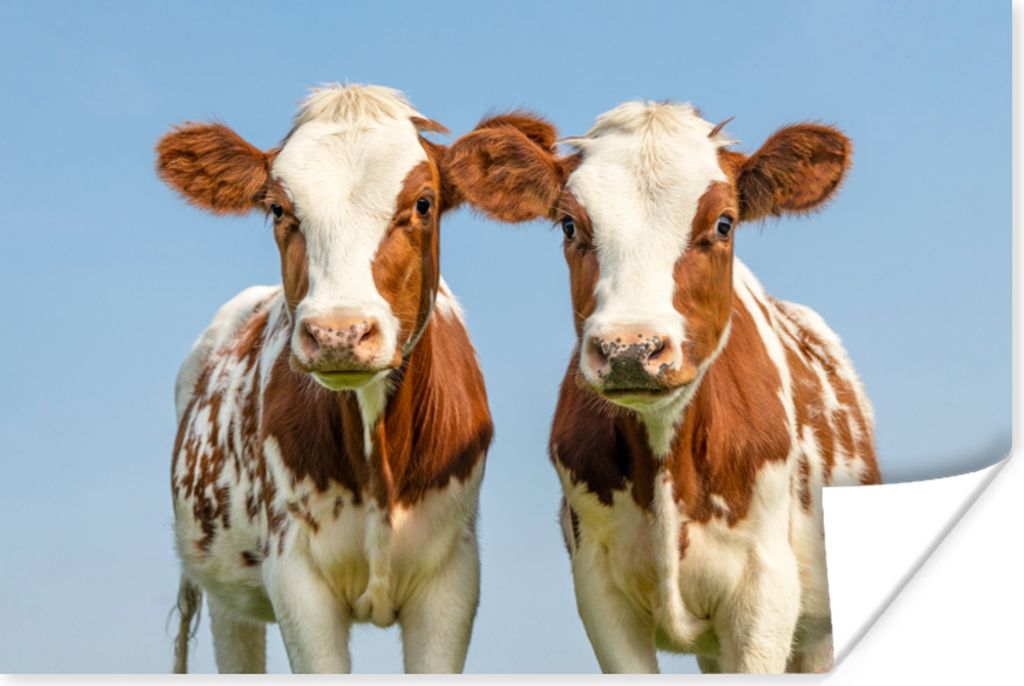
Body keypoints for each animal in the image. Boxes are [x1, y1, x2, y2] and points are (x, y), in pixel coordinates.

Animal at [157, 84, 493, 674]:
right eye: (277, 207)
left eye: (423, 203)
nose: (339, 332)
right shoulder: (296, 577)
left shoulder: (453, 577)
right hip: (227, 595)